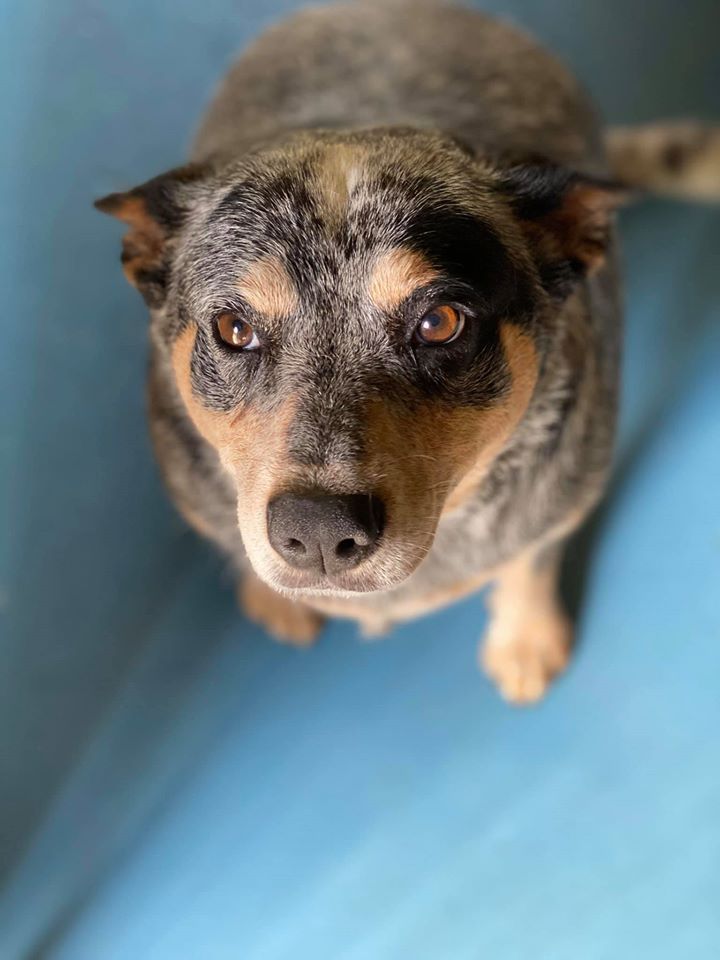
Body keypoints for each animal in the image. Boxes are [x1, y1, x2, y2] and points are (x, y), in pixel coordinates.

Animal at [97, 0, 720, 704]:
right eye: (233, 328)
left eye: (440, 322)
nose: (317, 528)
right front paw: (275, 601)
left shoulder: (566, 493)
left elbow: (530, 560)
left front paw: (525, 641)